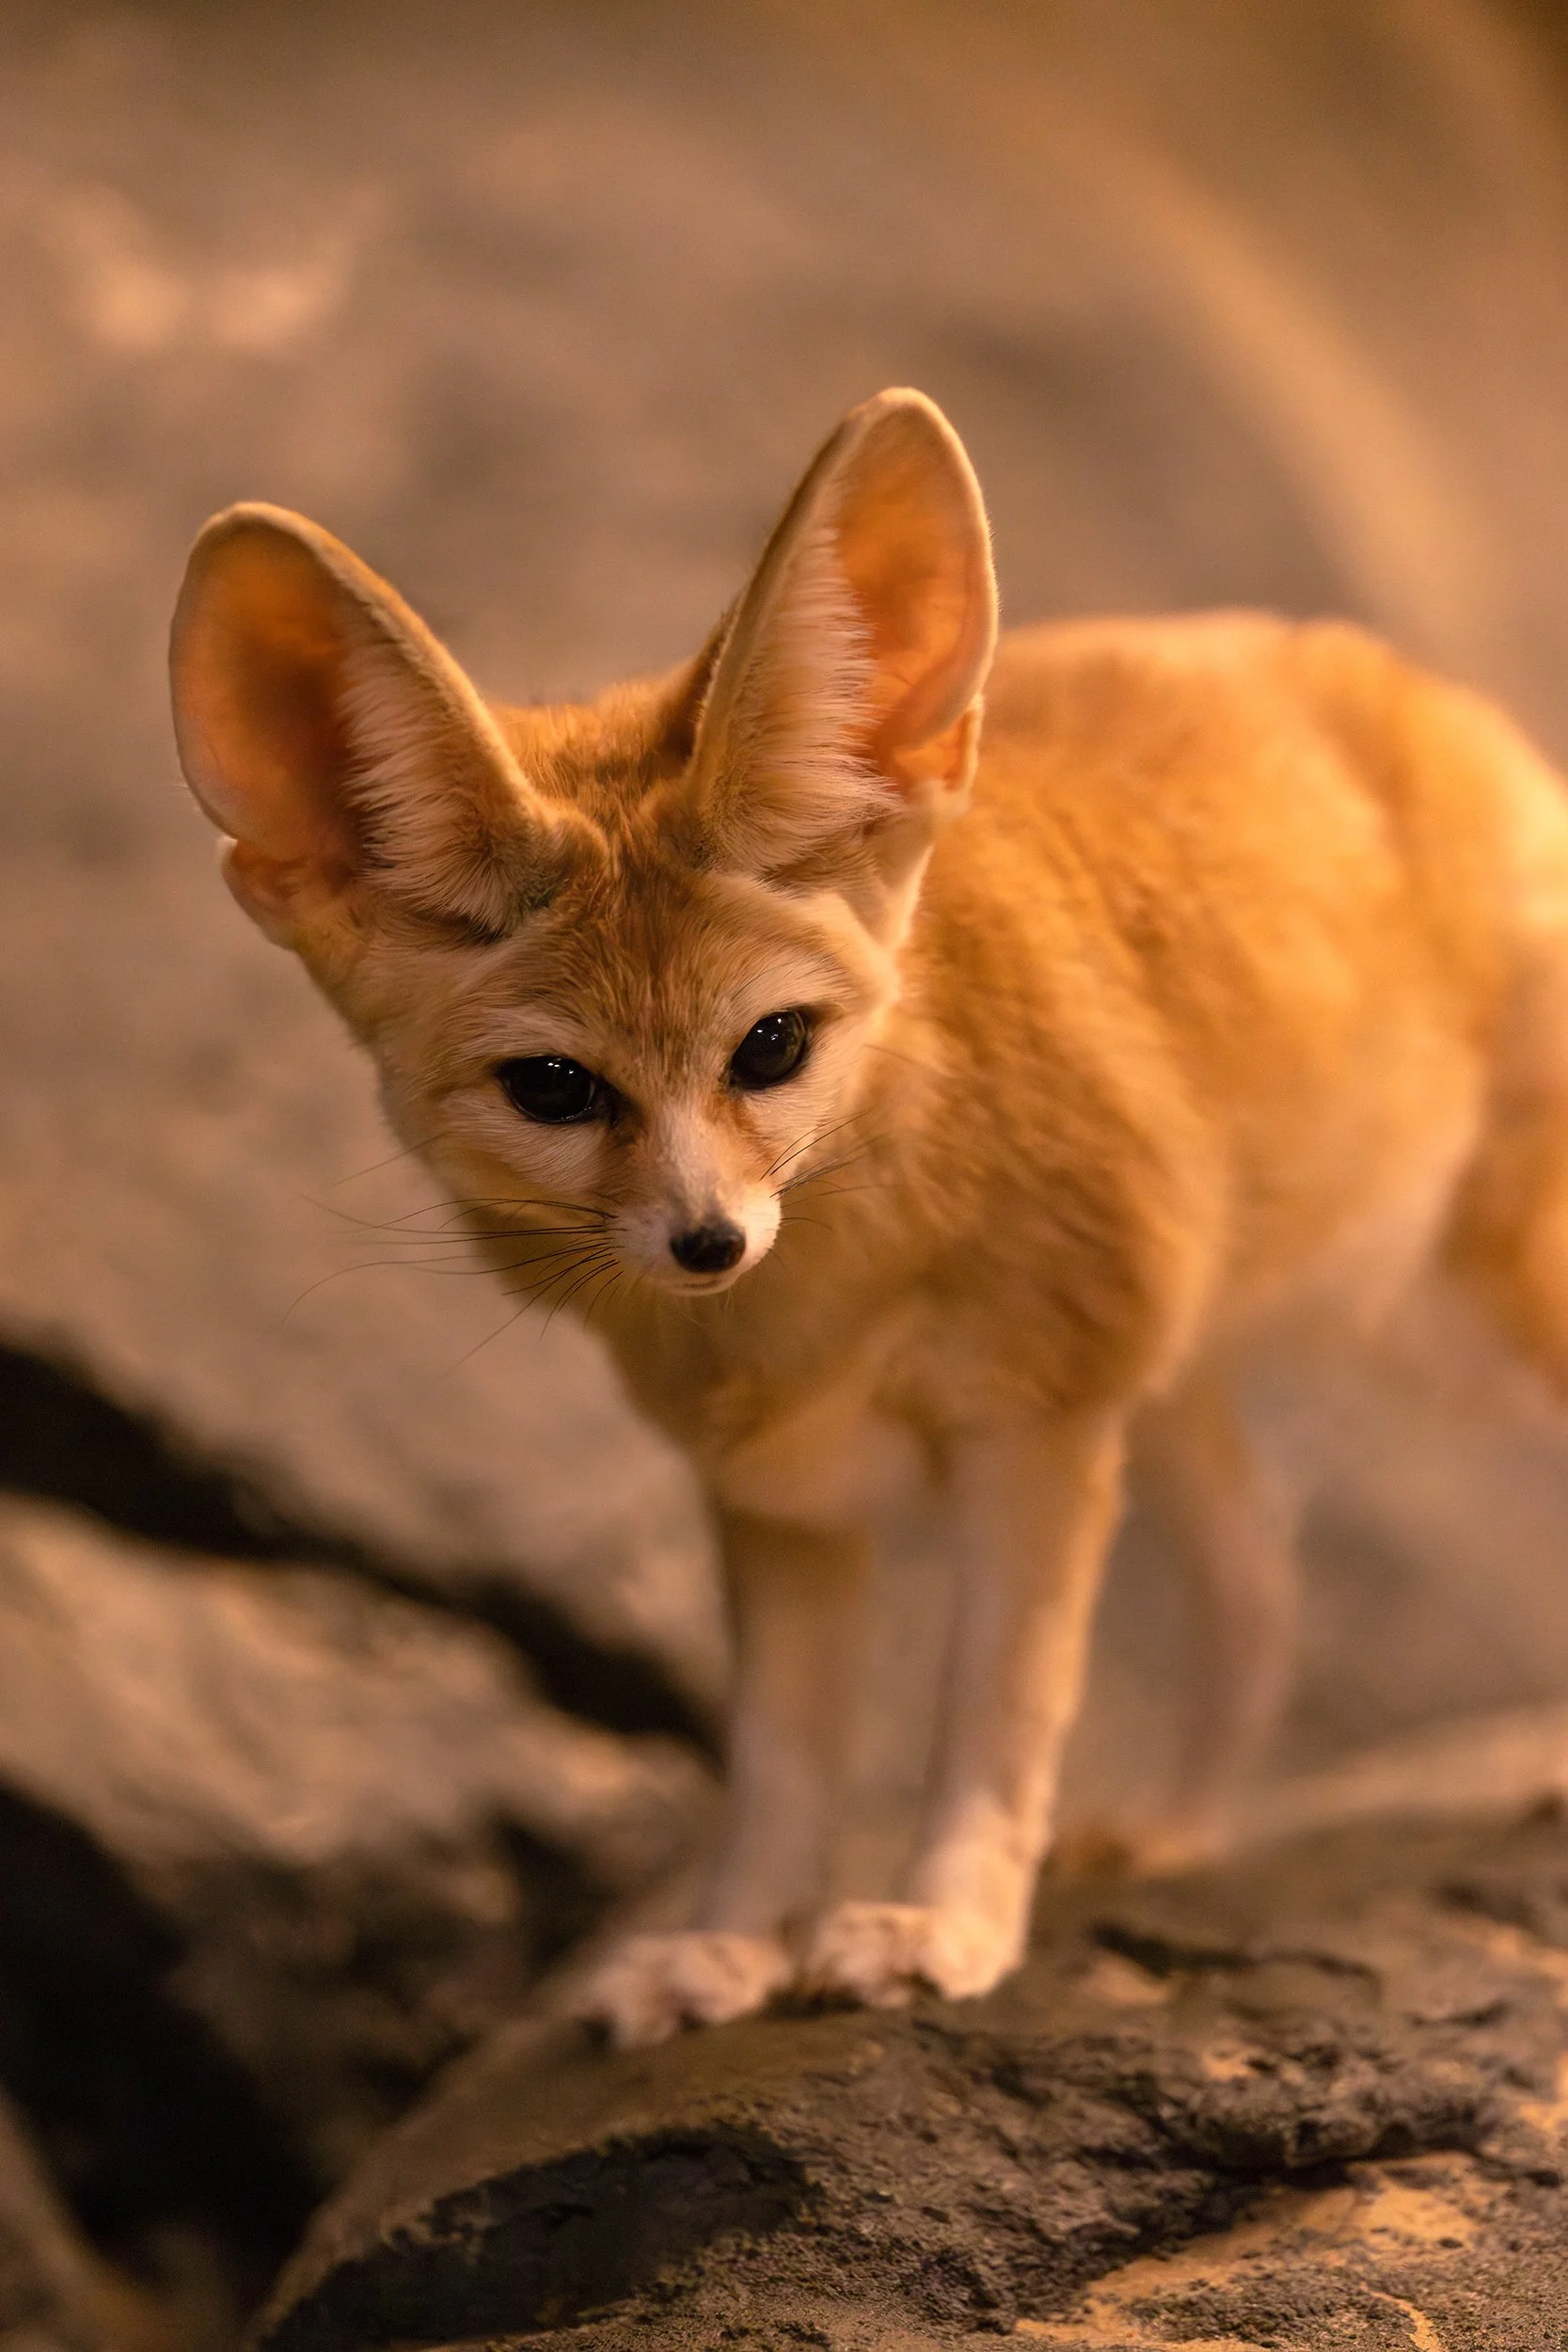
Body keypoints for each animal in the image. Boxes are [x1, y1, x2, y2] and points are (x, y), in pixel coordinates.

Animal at [169, 387, 1568, 2048]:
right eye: (555, 1087)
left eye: (769, 1047)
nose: (708, 1242)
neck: (815, 1302)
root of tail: (1405, 680)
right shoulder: (776, 1491)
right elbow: (778, 1759)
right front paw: (727, 1946)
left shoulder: (1035, 1436)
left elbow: (994, 1708)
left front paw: (939, 1920)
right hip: (1180, 1386)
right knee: (1258, 1596)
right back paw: (1173, 1832)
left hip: (1455, 1326)